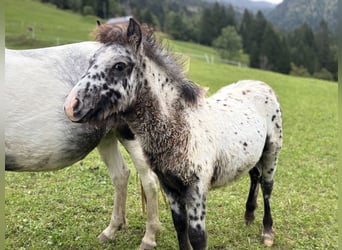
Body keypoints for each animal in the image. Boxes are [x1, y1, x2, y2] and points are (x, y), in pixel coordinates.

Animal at [4, 42, 162, 249]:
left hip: (131, 135)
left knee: (149, 180)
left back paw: (148, 239)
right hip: (107, 137)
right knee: (121, 175)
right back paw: (111, 230)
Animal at [64, 18, 284, 249]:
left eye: (119, 66)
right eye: (91, 61)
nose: (71, 106)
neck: (181, 127)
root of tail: (260, 84)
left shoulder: (197, 189)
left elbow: (198, 237)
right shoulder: (168, 185)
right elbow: (180, 226)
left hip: (272, 150)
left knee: (267, 185)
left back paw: (267, 232)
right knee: (254, 175)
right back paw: (249, 215)